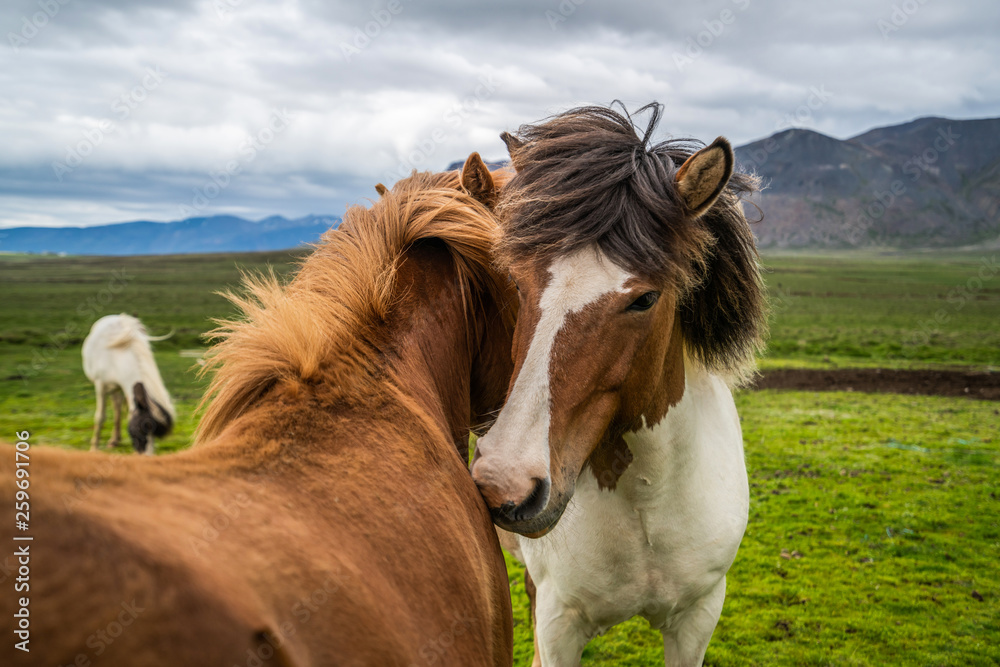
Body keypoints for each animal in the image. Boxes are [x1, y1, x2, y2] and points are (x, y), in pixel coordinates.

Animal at [83, 314, 176, 454]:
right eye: (139, 429)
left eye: (156, 434)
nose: (146, 456)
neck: (115, 355)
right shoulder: (101, 385)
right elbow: (100, 417)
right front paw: (94, 448)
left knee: (118, 409)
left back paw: (115, 440)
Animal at [468, 105, 764, 667]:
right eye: (514, 282)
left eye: (645, 299)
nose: (504, 482)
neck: (646, 501)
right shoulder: (559, 626)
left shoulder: (698, 618)